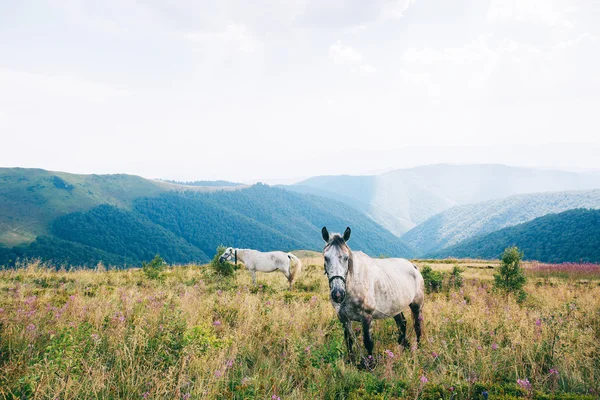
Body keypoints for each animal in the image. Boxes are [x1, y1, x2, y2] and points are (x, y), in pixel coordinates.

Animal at [322, 225, 424, 366]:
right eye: (326, 258)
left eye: (346, 258)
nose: (338, 294)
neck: (352, 285)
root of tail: (413, 267)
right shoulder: (344, 319)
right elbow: (349, 341)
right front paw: (352, 361)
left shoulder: (367, 317)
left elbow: (368, 343)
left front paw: (371, 365)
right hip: (395, 307)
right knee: (402, 324)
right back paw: (403, 346)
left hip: (416, 305)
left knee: (417, 326)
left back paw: (417, 348)